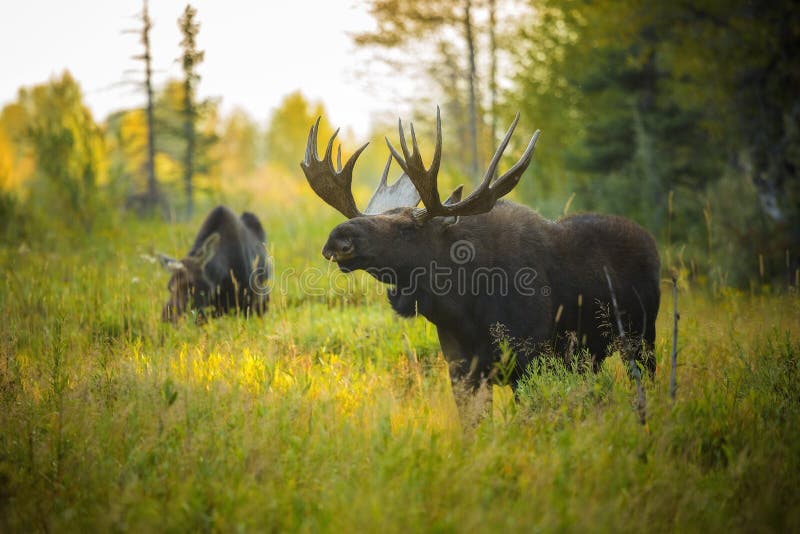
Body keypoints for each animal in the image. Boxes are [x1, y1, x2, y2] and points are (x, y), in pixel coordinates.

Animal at [301, 108, 660, 391]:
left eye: (407, 228)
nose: (338, 238)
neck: (464, 305)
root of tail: (650, 240)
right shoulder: (462, 369)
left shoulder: (531, 359)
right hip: (593, 355)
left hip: (643, 336)